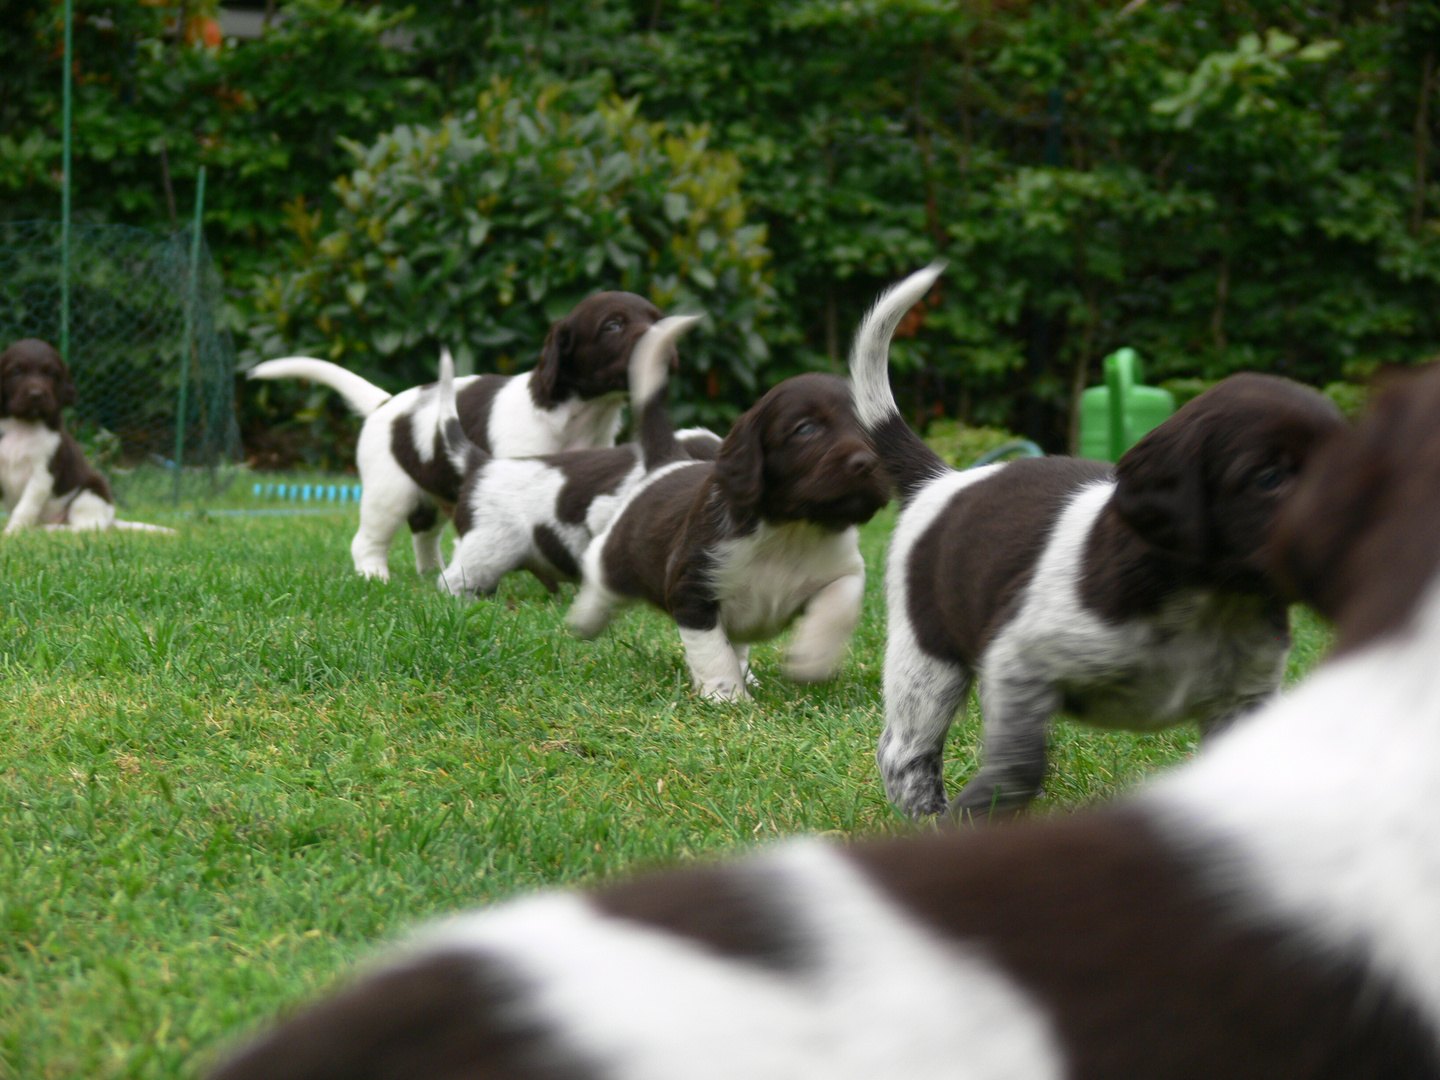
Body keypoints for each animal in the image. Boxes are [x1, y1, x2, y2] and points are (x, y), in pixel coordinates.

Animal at [0, 339, 116, 535]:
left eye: (51, 373)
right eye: (16, 371)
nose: (36, 395)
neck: (22, 427)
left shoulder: (42, 476)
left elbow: (25, 507)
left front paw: (13, 532)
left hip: (91, 491)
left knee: (87, 527)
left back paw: (52, 530)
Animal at [564, 368, 887, 705]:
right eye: (806, 429)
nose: (868, 463)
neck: (788, 530)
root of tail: (670, 463)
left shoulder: (844, 570)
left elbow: (837, 607)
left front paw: (812, 659)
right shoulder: (692, 590)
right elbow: (713, 652)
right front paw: (727, 698)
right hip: (621, 557)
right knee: (600, 571)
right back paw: (586, 619)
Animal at [846, 264, 1342, 817]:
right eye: (1269, 478)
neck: (1208, 599)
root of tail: (942, 480)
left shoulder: (1246, 698)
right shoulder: (1020, 658)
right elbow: (1019, 766)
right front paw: (974, 814)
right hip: (928, 654)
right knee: (905, 749)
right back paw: (925, 815)